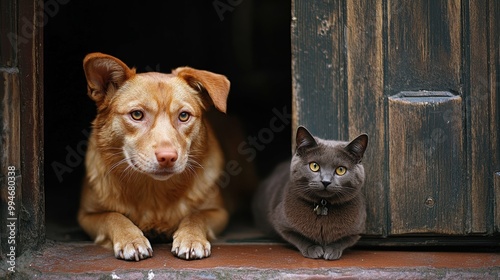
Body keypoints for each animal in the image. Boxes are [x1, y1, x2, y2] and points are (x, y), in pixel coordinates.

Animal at [77, 52, 230, 260]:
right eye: (137, 114)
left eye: (184, 116)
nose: (168, 157)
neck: (153, 189)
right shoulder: (86, 216)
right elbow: (113, 216)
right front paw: (131, 239)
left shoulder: (219, 212)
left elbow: (196, 216)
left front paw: (191, 238)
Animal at [254, 126, 368, 260]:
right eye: (314, 166)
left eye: (341, 170)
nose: (325, 181)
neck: (323, 205)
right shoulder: (280, 223)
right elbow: (298, 236)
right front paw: (313, 249)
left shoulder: (358, 229)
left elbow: (344, 239)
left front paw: (331, 251)